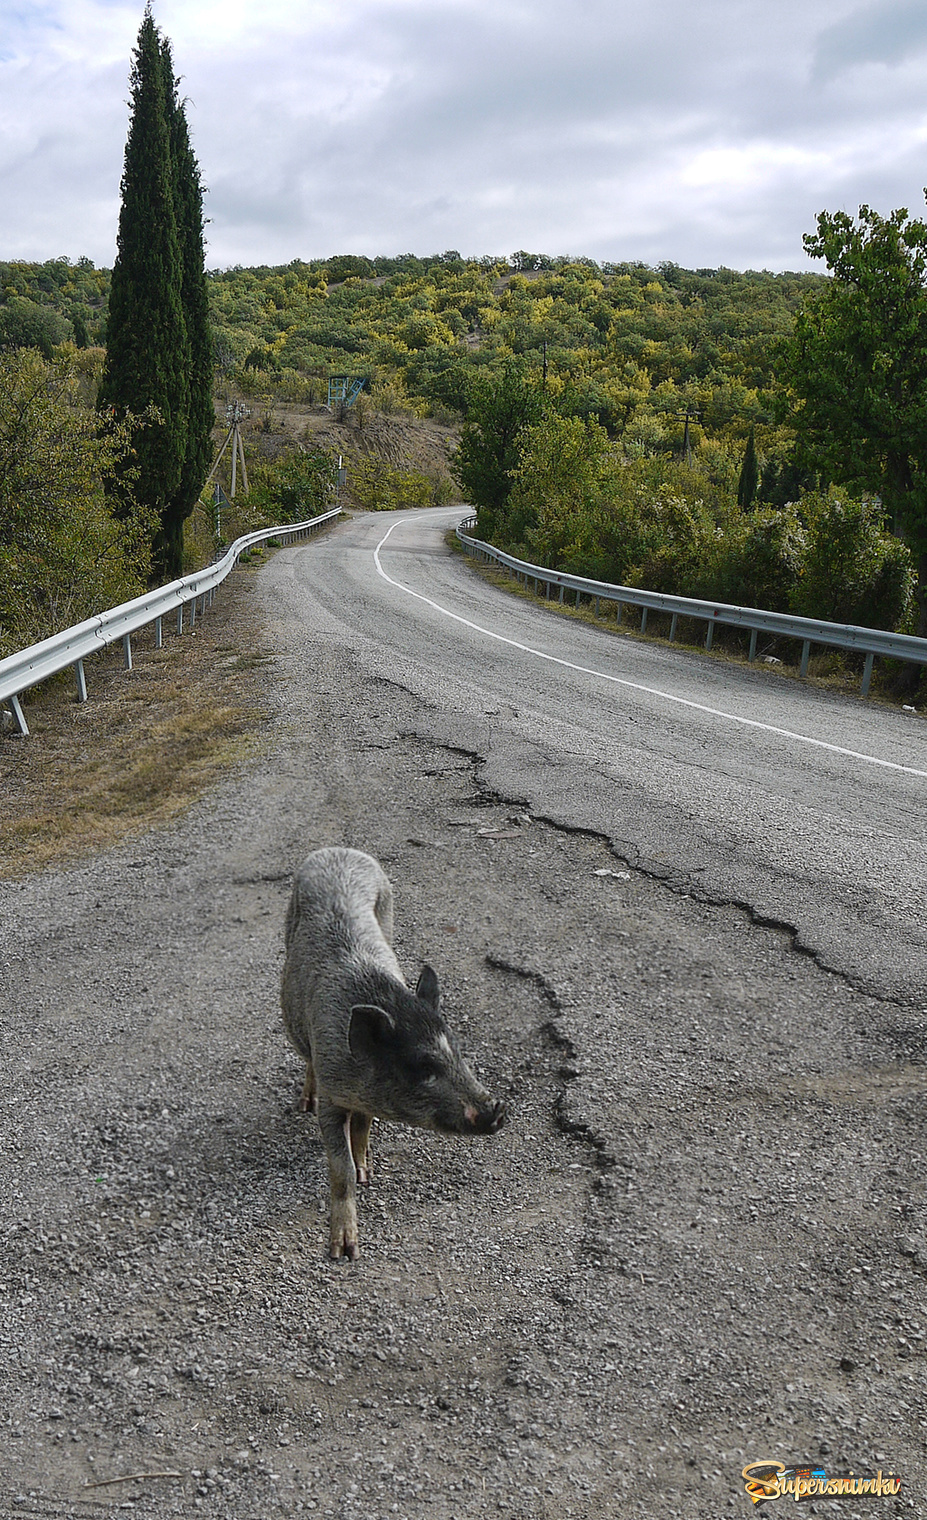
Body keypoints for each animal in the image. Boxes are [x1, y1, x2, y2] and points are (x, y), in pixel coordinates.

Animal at [279, 845, 504, 1258]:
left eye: (458, 1052)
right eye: (422, 1067)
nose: (497, 1108)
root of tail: (338, 850)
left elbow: (364, 1128)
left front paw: (367, 1172)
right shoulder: (332, 1094)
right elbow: (340, 1169)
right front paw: (345, 1251)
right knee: (306, 1061)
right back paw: (303, 1102)